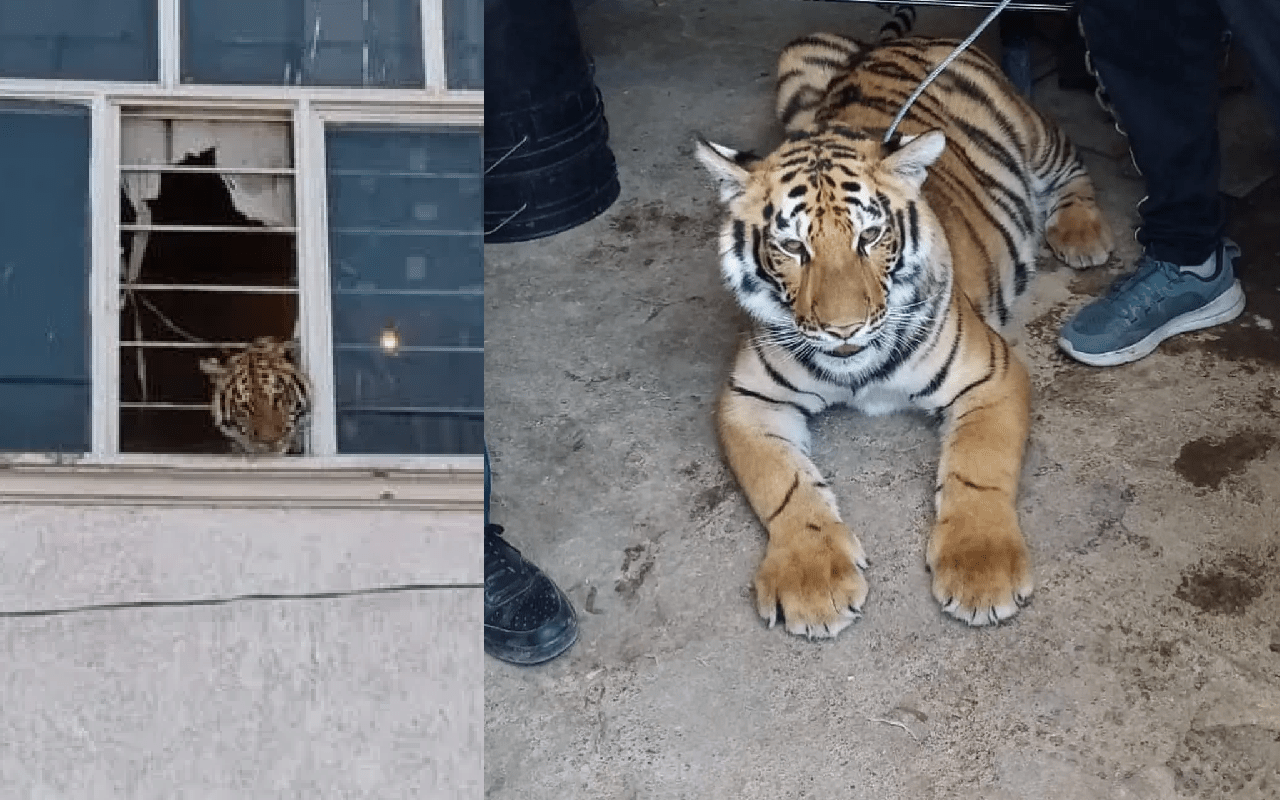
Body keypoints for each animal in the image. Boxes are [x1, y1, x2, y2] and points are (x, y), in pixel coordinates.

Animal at [694, 33, 1113, 637]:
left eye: (870, 236)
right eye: (793, 247)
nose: (842, 328)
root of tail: (897, 38)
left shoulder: (991, 374)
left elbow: (978, 467)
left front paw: (981, 572)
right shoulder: (748, 398)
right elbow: (783, 483)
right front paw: (812, 579)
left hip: (1037, 136)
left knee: (1073, 168)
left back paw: (1082, 234)